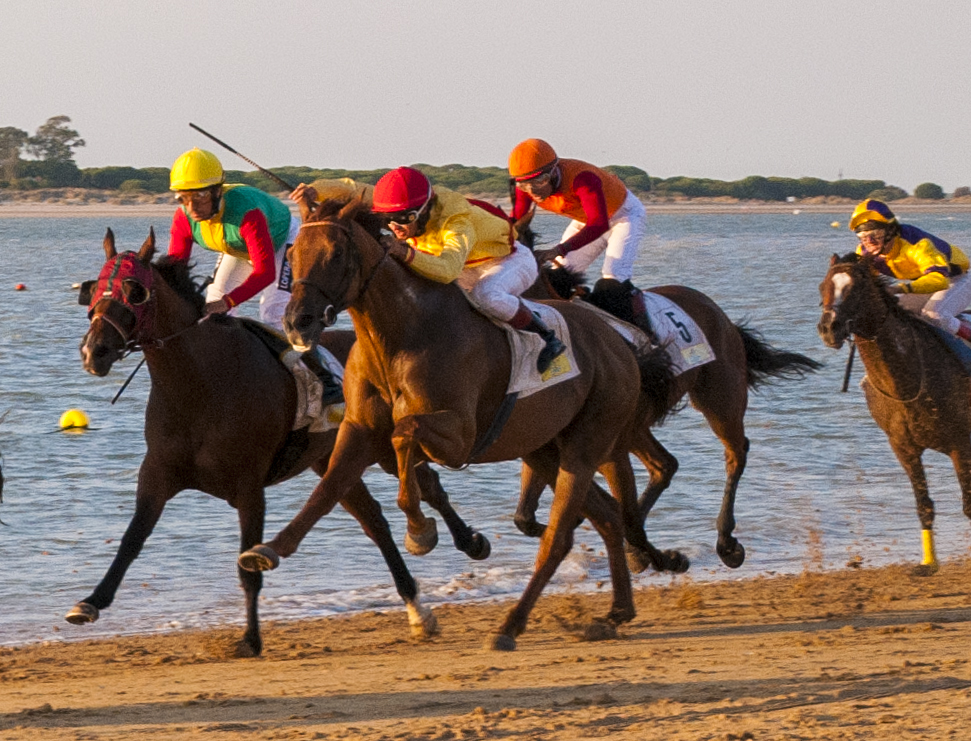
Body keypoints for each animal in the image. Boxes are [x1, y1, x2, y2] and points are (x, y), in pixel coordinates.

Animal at [70, 228, 486, 656]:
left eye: (135, 291)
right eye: (94, 288)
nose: (93, 350)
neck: (199, 383)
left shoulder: (249, 487)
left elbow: (248, 568)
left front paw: (250, 639)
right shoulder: (157, 475)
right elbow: (131, 540)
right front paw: (90, 602)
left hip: (382, 445)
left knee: (428, 485)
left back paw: (468, 542)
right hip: (333, 459)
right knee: (375, 522)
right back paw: (418, 608)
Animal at [236, 195, 676, 648]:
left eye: (337, 253)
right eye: (292, 256)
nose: (296, 322)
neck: (402, 336)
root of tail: (621, 343)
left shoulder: (460, 437)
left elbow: (404, 433)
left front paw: (420, 531)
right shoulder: (358, 430)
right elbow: (327, 490)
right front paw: (267, 549)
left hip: (586, 444)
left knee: (558, 537)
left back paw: (510, 626)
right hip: (542, 449)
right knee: (607, 516)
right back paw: (617, 611)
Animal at [516, 225, 820, 572]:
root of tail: (721, 314)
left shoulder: (606, 445)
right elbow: (524, 515)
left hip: (720, 399)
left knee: (735, 452)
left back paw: (726, 542)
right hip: (640, 427)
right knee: (664, 465)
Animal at [820, 251, 971, 576]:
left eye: (855, 289)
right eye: (823, 286)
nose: (828, 328)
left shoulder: (960, 445)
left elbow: (968, 504)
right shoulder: (903, 447)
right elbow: (923, 505)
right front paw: (928, 562)